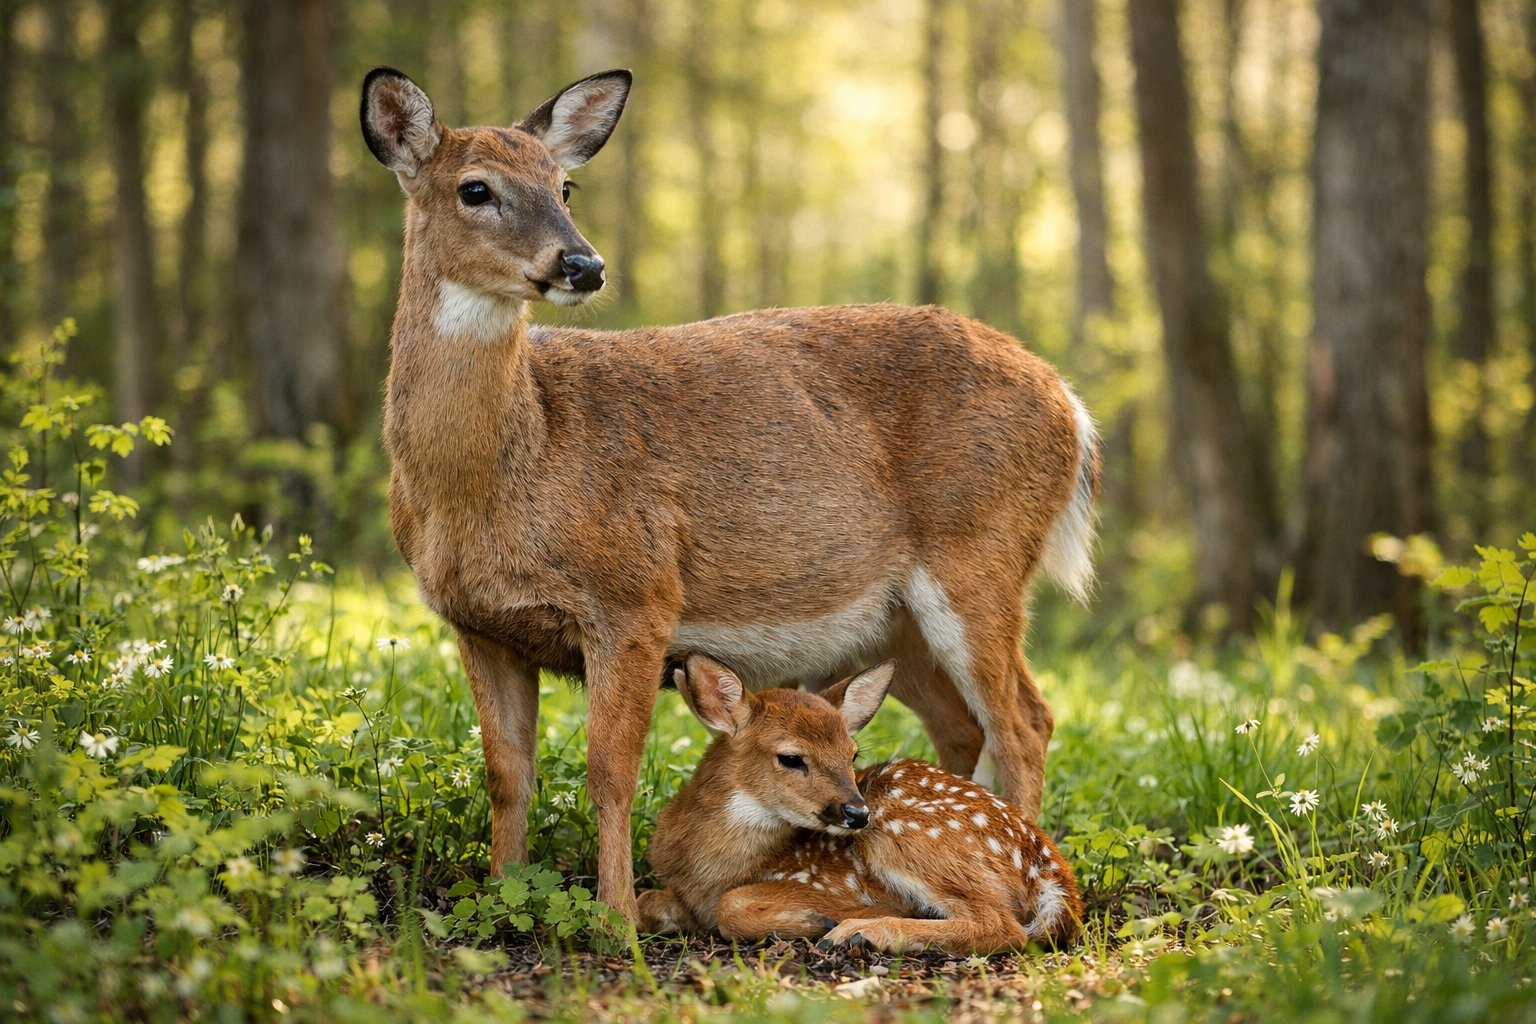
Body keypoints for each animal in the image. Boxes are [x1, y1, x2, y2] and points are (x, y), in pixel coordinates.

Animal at [359, 66, 1099, 920]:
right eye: (474, 188)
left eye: (564, 184)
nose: (583, 265)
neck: (498, 472)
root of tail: (1071, 405)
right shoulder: (479, 622)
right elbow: (507, 773)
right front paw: (499, 898)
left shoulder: (636, 595)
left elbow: (610, 772)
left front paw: (615, 921)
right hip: (891, 623)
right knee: (966, 725)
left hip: (981, 556)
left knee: (1026, 720)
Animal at [637, 654, 1083, 952]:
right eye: (791, 758)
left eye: (852, 755)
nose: (856, 811)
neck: (709, 872)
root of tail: (1050, 868)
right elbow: (646, 901)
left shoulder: (838, 884)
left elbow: (731, 906)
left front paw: (817, 921)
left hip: (907, 836)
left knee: (1002, 925)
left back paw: (859, 932)